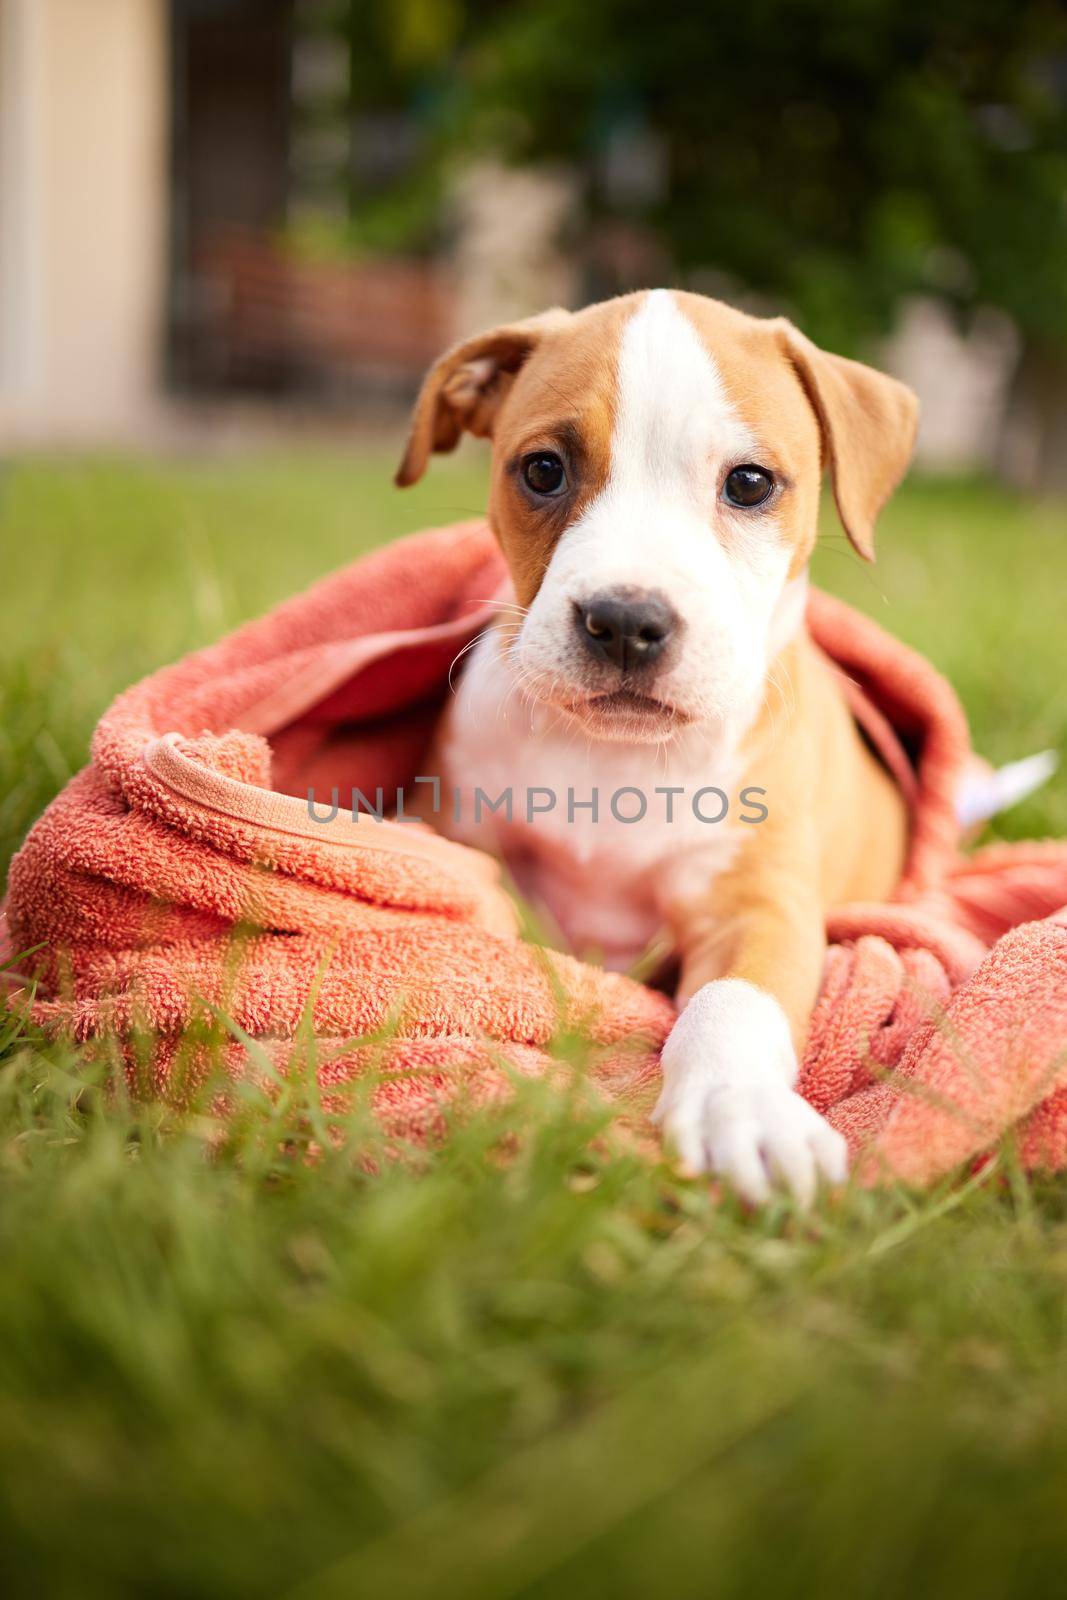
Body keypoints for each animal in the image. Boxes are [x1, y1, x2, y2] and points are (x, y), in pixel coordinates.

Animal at [396, 291, 915, 1203]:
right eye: (542, 470)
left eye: (748, 483)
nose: (625, 621)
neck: (617, 760)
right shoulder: (465, 834)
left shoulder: (760, 905)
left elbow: (732, 1004)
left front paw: (740, 1109)